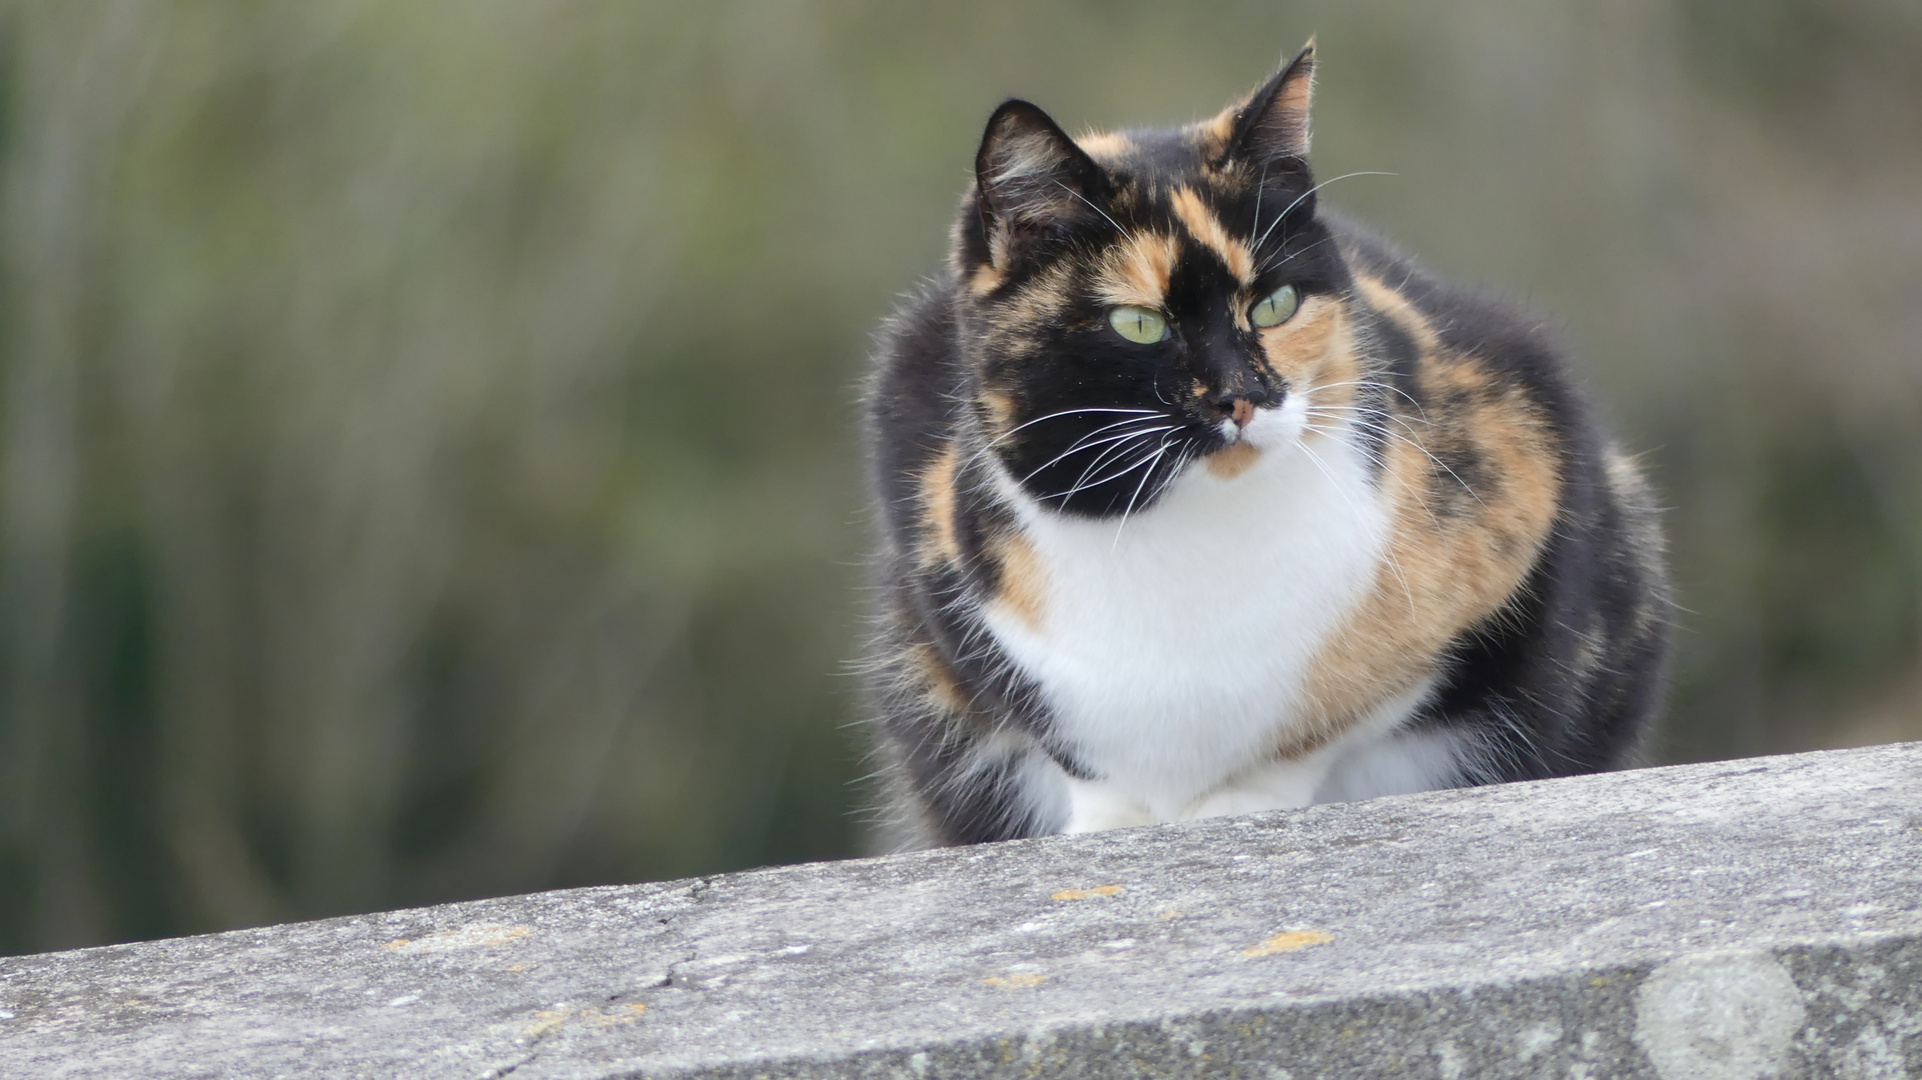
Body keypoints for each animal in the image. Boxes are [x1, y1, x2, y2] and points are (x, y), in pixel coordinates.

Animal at [864, 44, 1675, 849]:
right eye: (1138, 324)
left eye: (1275, 305)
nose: (1244, 395)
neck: (1195, 542)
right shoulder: (941, 563)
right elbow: (1063, 739)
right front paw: (1111, 819)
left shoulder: (1517, 481)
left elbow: (1339, 720)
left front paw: (1240, 800)